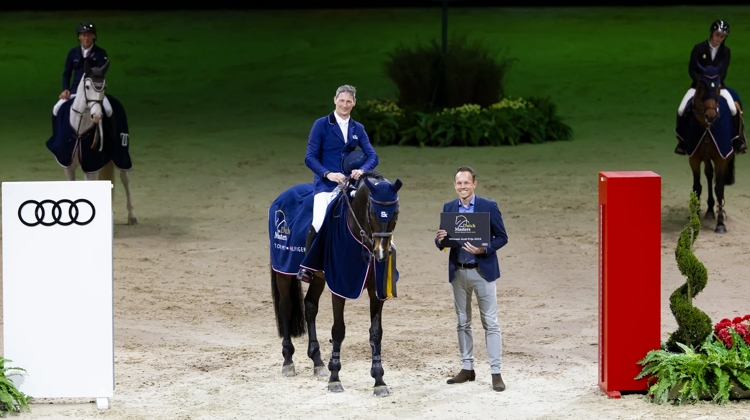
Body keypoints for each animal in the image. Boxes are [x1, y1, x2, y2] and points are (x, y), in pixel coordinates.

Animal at [53, 60, 138, 226]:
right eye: (87, 87)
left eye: (104, 86)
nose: (97, 115)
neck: (79, 128)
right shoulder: (67, 164)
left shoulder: (91, 165)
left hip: (122, 153)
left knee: (125, 179)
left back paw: (132, 216)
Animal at [268, 171, 402, 398]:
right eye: (373, 212)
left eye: (396, 213)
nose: (382, 254)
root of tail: (282, 196)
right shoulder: (339, 286)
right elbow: (338, 330)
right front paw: (335, 379)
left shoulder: (375, 291)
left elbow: (376, 333)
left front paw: (379, 380)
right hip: (283, 271)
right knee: (285, 307)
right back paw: (288, 361)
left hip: (319, 278)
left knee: (310, 306)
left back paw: (317, 362)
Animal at [680, 62, 740, 233]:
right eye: (701, 86)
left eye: (718, 87)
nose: (711, 116)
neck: (707, 127)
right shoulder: (694, 157)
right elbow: (697, 186)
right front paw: (695, 219)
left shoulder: (721, 157)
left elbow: (719, 188)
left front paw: (720, 224)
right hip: (706, 157)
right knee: (708, 174)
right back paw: (709, 211)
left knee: (718, 180)